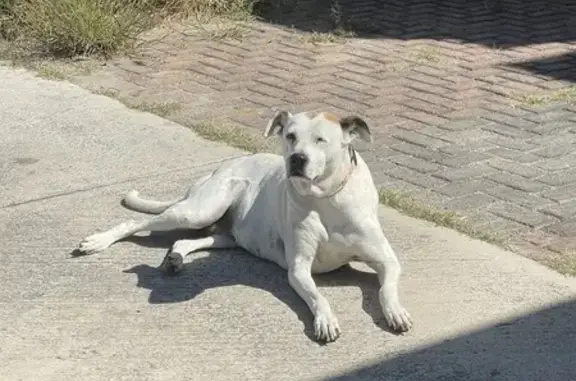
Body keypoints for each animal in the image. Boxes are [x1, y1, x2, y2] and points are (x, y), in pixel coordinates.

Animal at [79, 110, 412, 342]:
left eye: (321, 139)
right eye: (290, 136)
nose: (296, 159)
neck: (327, 198)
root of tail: (215, 171)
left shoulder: (387, 260)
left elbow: (387, 287)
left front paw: (395, 311)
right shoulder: (299, 269)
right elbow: (318, 297)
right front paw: (325, 320)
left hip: (225, 234)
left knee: (188, 241)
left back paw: (175, 258)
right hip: (198, 210)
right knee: (135, 221)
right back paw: (98, 241)